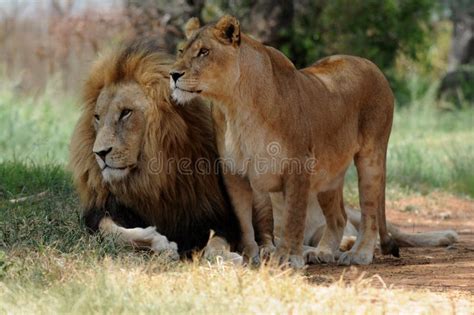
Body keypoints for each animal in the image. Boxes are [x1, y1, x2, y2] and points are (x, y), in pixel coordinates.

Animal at [70, 39, 241, 260]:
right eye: (97, 117)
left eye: (126, 113)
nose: (99, 153)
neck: (152, 177)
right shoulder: (100, 211)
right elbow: (109, 229)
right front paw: (158, 242)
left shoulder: (221, 216)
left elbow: (216, 242)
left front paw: (225, 257)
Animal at [169, 14, 404, 266]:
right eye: (181, 51)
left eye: (204, 52)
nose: (173, 75)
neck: (235, 106)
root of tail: (369, 64)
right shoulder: (234, 173)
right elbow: (243, 221)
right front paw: (250, 254)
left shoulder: (298, 165)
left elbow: (293, 217)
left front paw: (288, 258)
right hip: (328, 176)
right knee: (339, 217)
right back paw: (322, 252)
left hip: (371, 157)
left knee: (370, 213)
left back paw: (358, 254)